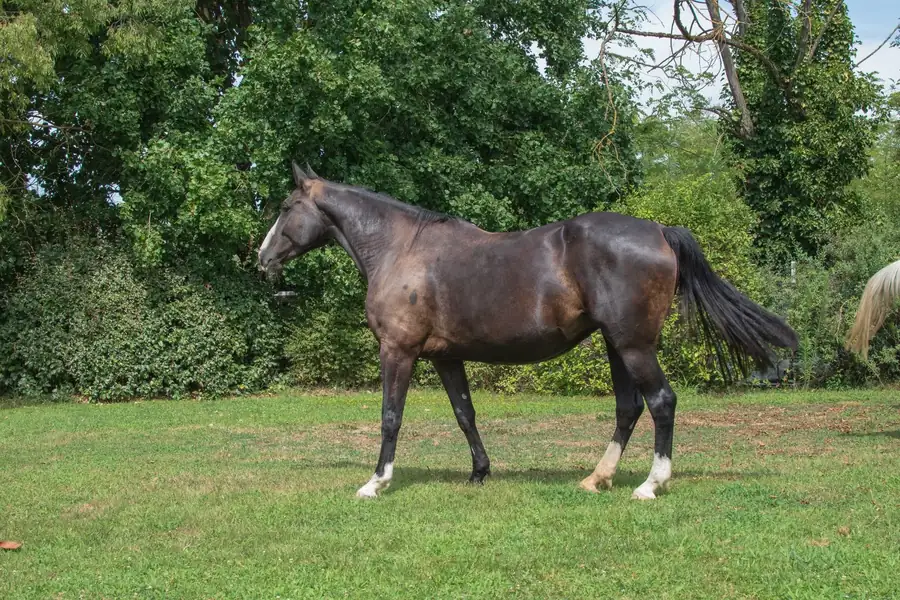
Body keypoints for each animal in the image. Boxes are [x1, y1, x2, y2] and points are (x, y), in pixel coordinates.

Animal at [259, 162, 798, 500]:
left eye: (285, 207)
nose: (262, 259)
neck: (400, 249)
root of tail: (659, 230)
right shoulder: (446, 356)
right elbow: (465, 414)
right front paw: (479, 472)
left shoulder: (399, 350)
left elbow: (391, 417)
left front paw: (376, 483)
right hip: (616, 345)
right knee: (628, 408)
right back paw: (597, 478)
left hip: (633, 345)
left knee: (661, 402)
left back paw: (650, 484)